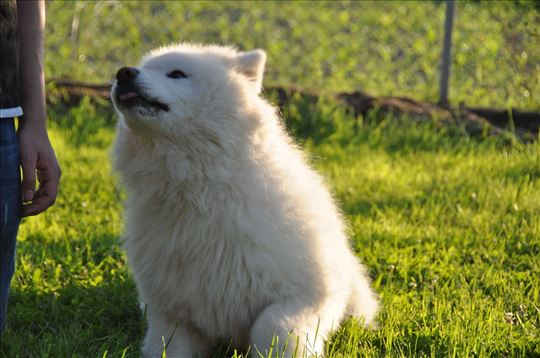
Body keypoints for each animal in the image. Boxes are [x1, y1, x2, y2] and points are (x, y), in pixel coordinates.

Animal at [111, 43, 378, 356]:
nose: (123, 73)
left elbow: (271, 324)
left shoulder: (308, 295)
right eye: (142, 66)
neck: (200, 190)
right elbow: (167, 344)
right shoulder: (173, 312)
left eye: (177, 74)